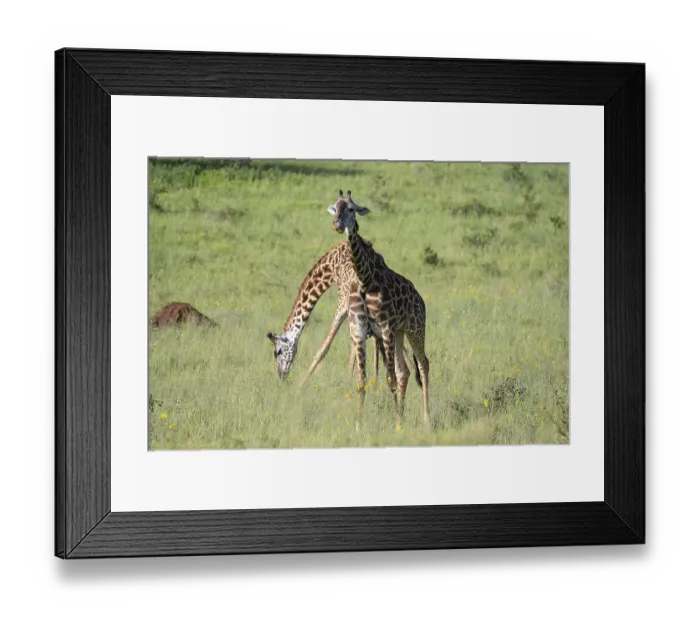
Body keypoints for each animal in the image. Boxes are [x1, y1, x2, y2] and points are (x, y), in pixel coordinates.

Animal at [267, 241, 386, 388]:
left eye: (277, 352)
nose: (281, 375)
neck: (330, 265)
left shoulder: (344, 302)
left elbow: (326, 346)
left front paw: (300, 385)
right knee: (378, 337)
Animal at [326, 189, 430, 425]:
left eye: (351, 209)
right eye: (334, 207)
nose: (337, 224)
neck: (366, 280)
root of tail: (421, 300)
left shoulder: (385, 328)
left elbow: (389, 379)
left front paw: (395, 423)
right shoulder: (359, 330)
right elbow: (361, 382)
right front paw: (359, 424)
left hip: (415, 329)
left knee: (423, 364)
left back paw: (427, 420)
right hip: (400, 332)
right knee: (405, 371)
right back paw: (404, 414)